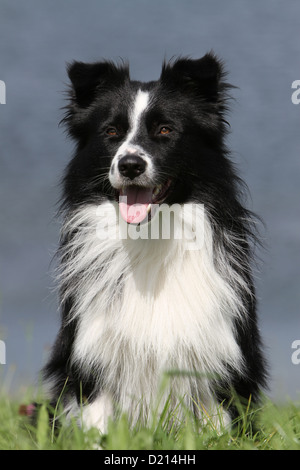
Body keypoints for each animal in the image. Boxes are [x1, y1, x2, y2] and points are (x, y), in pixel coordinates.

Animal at [42, 53, 268, 432]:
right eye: (111, 132)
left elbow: (215, 426)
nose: (130, 164)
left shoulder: (216, 358)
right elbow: (96, 424)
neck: (151, 236)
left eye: (165, 130)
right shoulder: (92, 357)